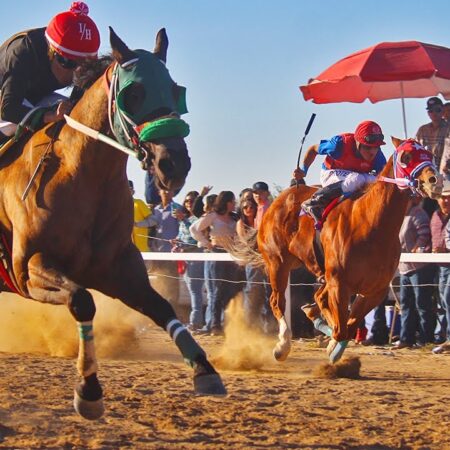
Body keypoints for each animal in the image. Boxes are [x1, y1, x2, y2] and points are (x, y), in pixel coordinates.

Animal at [0, 29, 227, 420]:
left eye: (175, 90)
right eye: (133, 93)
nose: (173, 164)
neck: (80, 175)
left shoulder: (118, 267)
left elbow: (162, 308)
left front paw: (204, 369)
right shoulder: (28, 269)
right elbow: (82, 301)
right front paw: (89, 390)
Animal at [236, 136, 442, 362]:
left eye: (429, 155)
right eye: (406, 157)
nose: (435, 180)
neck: (370, 224)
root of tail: (278, 201)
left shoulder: (374, 289)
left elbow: (349, 325)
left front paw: (332, 341)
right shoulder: (339, 282)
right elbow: (342, 328)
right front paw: (333, 347)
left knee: (318, 298)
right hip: (277, 263)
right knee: (277, 301)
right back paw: (283, 345)